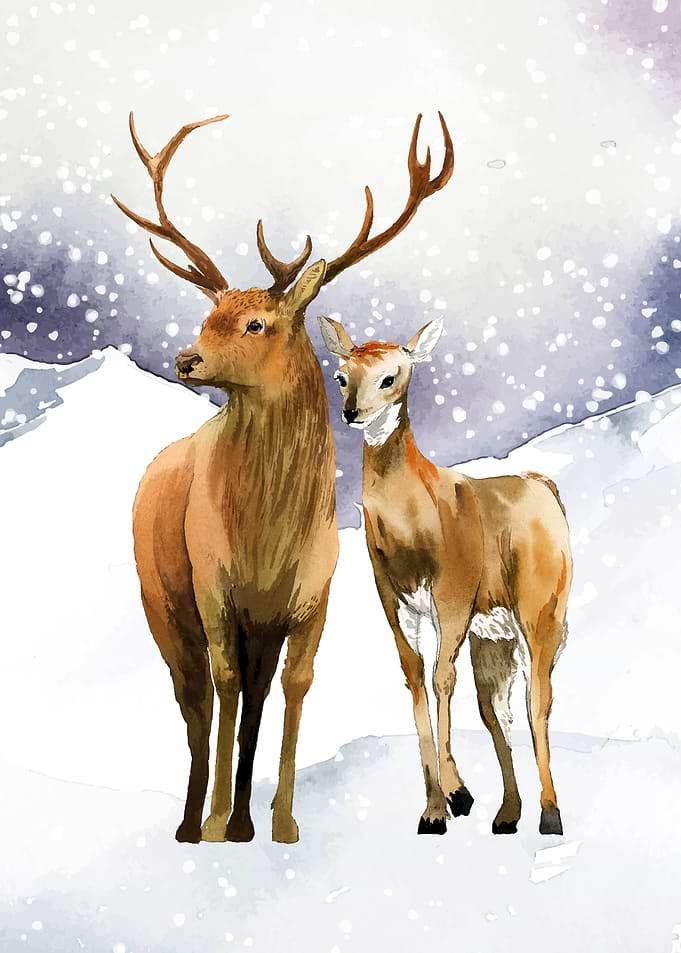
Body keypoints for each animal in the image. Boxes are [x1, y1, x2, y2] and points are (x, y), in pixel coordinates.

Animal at [112, 110, 455, 843]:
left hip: (256, 625)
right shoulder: (214, 586)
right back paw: (193, 822)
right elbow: (222, 687)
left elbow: (294, 687)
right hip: (162, 601)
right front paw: (217, 821)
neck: (267, 534)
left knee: (250, 698)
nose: (185, 359)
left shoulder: (311, 596)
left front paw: (281, 822)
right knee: (194, 699)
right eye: (207, 315)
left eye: (255, 322)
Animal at [319, 315, 572, 837]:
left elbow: (441, 679)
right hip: (493, 634)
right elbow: (416, 678)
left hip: (541, 608)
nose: (352, 413)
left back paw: (550, 815)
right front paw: (435, 810)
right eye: (341, 376)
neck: (413, 528)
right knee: (497, 709)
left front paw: (458, 793)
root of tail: (545, 486)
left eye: (390, 377)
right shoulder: (394, 600)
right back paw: (507, 814)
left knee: (539, 698)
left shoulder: (452, 592)